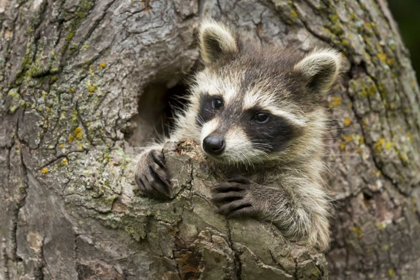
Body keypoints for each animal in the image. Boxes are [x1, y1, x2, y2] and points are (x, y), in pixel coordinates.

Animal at [135, 20, 342, 252]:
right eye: (217, 102)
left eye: (260, 116)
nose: (212, 143)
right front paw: (147, 155)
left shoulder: (300, 171)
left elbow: (313, 224)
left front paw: (267, 198)